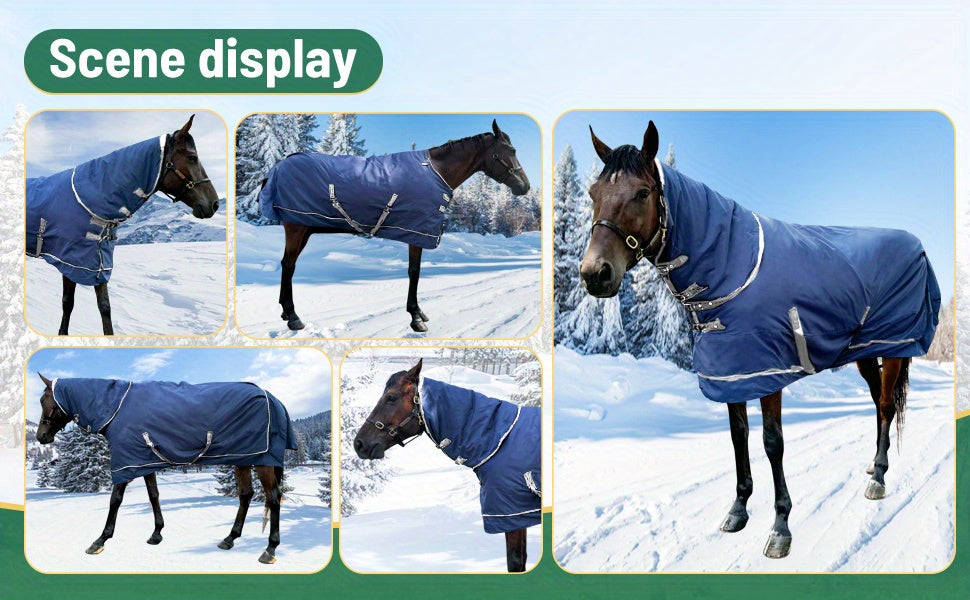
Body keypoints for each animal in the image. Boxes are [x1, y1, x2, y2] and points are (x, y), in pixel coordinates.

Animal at [26, 115, 220, 335]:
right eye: (192, 158)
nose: (214, 204)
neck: (93, 198)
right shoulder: (72, 261)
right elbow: (69, 303)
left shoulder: (98, 263)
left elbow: (104, 307)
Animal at [34, 373, 297, 564]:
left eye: (46, 401)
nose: (41, 437)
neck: (115, 408)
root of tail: (273, 398)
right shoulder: (142, 460)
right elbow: (153, 496)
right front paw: (156, 533)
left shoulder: (125, 464)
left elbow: (115, 500)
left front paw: (100, 540)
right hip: (243, 458)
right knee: (245, 495)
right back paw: (230, 538)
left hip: (263, 461)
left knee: (273, 497)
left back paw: (270, 549)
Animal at [258, 119, 530, 333]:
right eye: (510, 149)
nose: (525, 186)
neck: (437, 173)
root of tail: (278, 167)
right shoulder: (417, 233)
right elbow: (414, 272)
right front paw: (416, 317)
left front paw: (418, 313)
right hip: (296, 227)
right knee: (289, 265)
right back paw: (293, 317)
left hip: (304, 227)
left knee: (288, 264)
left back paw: (286, 313)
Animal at [353, 359, 541, 572]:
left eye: (391, 397)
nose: (359, 444)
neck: (497, 440)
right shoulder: (515, 514)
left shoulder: (511, 513)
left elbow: (515, 561)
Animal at [577, 121, 940, 559]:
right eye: (593, 193)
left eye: (643, 193)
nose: (594, 273)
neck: (732, 266)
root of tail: (916, 246)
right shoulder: (732, 373)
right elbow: (739, 438)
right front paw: (738, 509)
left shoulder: (768, 372)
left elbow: (772, 443)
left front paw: (780, 527)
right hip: (866, 351)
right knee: (877, 403)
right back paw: (872, 464)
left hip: (896, 346)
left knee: (886, 405)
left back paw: (879, 478)